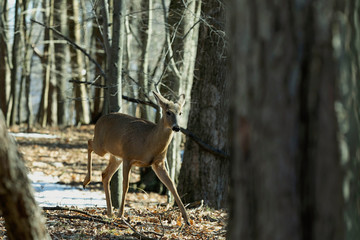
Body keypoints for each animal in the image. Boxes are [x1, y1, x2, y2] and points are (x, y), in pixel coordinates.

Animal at [83, 91, 190, 226]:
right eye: (168, 112)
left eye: (180, 113)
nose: (176, 127)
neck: (148, 142)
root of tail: (99, 120)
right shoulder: (128, 157)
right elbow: (126, 186)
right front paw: (121, 214)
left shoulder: (158, 163)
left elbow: (172, 185)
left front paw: (187, 219)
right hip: (102, 147)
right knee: (89, 143)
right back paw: (86, 181)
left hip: (116, 157)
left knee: (105, 174)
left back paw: (110, 212)